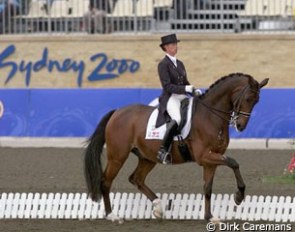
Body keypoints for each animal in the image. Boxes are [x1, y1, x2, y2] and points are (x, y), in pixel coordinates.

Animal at [84, 73, 270, 223]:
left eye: (256, 101)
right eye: (248, 99)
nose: (240, 126)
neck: (210, 116)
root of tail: (117, 112)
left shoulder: (211, 160)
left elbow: (208, 188)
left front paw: (210, 217)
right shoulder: (204, 156)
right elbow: (234, 162)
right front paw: (239, 196)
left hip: (147, 158)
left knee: (136, 179)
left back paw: (158, 208)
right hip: (118, 156)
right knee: (106, 181)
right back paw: (112, 216)